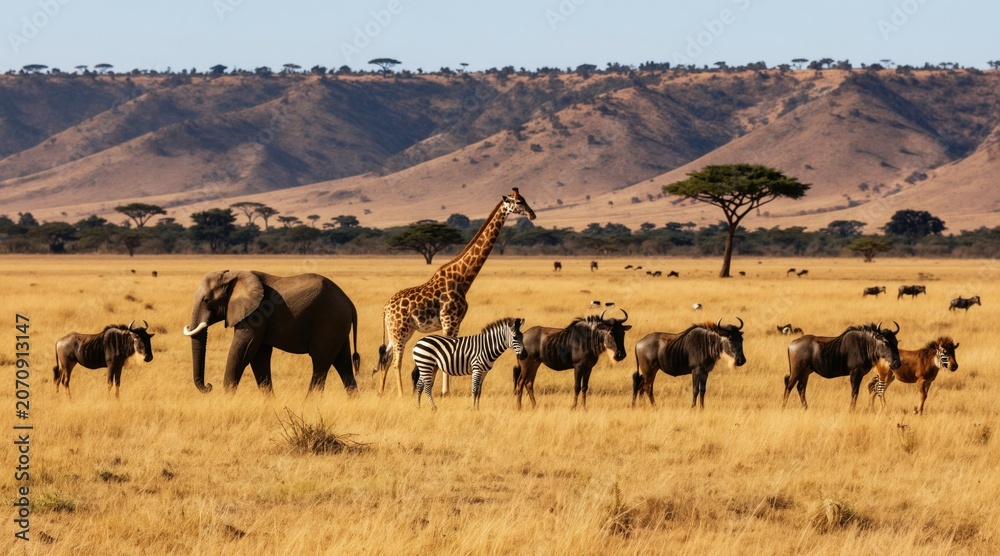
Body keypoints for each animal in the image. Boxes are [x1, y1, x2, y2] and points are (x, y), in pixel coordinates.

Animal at [182, 270, 360, 394]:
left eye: (206, 300)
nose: (208, 386)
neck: (232, 275)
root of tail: (350, 303)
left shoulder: (256, 313)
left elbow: (243, 351)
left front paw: (227, 399)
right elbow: (259, 357)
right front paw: (269, 401)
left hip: (329, 321)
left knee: (320, 362)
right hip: (338, 325)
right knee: (342, 363)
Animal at [377, 188, 536, 397]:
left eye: (525, 199)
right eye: (518, 202)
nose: (532, 215)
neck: (462, 278)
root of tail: (386, 308)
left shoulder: (456, 322)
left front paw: (446, 391)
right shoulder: (449, 321)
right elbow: (447, 354)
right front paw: (446, 392)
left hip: (398, 330)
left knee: (386, 358)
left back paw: (380, 391)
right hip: (400, 330)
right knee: (396, 361)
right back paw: (402, 395)